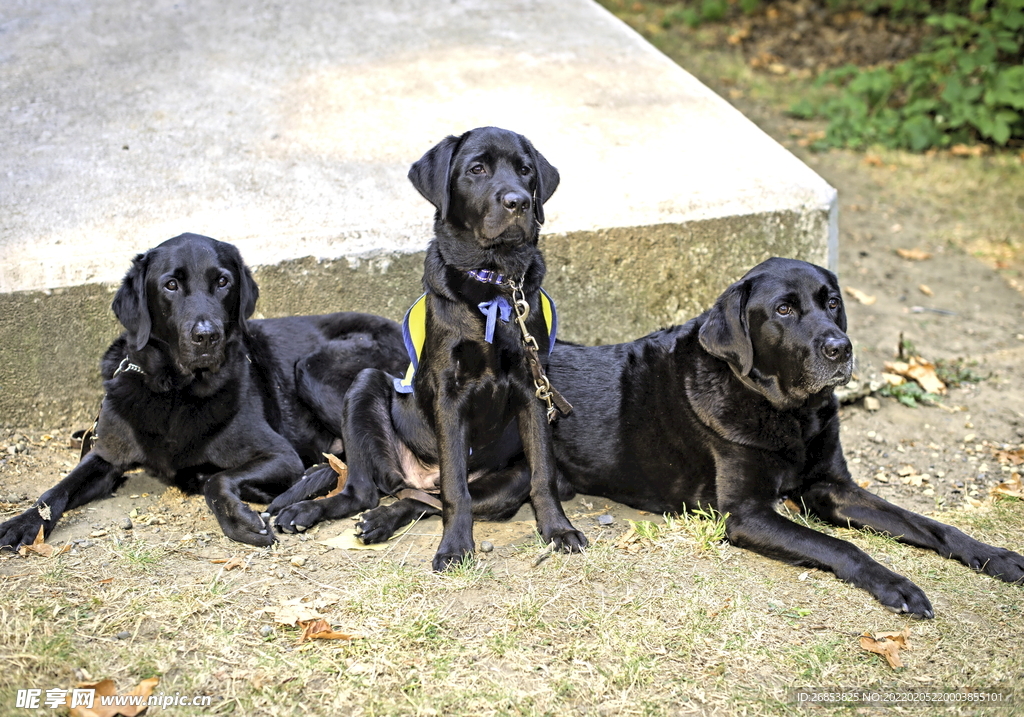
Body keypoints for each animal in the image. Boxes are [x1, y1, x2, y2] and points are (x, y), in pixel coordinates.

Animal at [0, 235, 407, 549]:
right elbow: (55, 491)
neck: (174, 392)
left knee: (366, 485)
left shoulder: (280, 455)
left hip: (314, 369)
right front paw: (20, 523)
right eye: (171, 285)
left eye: (223, 282)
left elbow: (216, 479)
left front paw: (238, 519)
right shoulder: (106, 456)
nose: (207, 335)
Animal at [272, 125, 589, 569]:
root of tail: (420, 475)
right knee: (368, 492)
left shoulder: (533, 388)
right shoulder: (448, 392)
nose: (518, 202)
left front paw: (558, 530)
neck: (494, 284)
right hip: (365, 385)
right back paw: (309, 511)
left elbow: (542, 473)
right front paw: (455, 547)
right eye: (477, 169)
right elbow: (456, 485)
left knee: (423, 500)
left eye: (526, 170)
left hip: (508, 480)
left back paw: (382, 520)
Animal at [350, 258, 1015, 614]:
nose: (840, 347)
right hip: (508, 483)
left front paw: (997, 556)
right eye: (783, 310)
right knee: (435, 495)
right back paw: (379, 520)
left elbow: (929, 525)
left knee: (428, 495)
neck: (786, 412)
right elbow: (844, 549)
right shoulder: (748, 514)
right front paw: (897, 585)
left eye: (832, 303)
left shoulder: (832, 488)